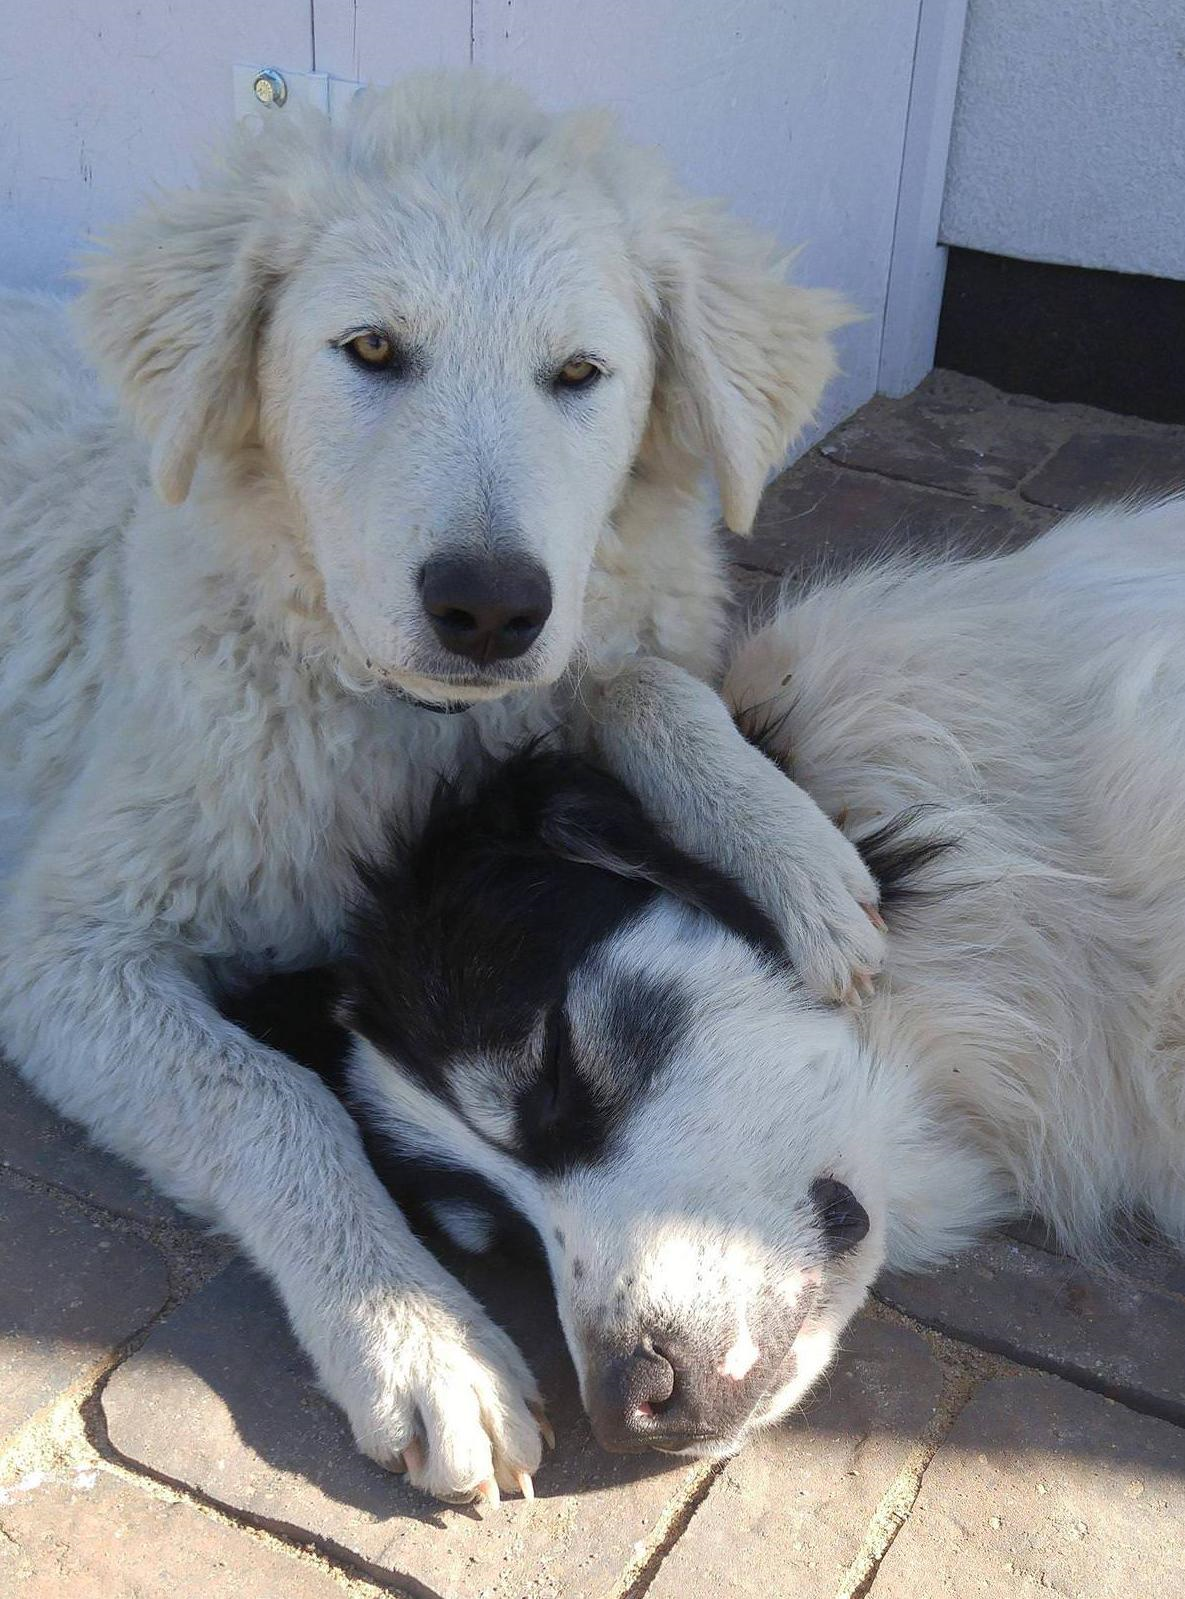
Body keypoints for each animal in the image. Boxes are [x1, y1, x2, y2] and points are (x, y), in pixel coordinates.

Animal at [0, 75, 876, 1496]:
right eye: (369, 350)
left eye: (579, 375)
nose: (491, 609)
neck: (406, 727)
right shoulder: (64, 947)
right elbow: (277, 1099)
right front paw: (420, 1342)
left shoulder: (577, 666)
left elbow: (638, 679)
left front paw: (783, 846)